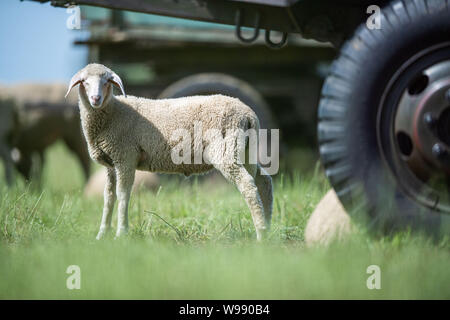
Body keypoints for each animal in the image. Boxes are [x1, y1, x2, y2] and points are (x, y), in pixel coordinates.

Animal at [65, 63, 272, 240]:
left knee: (248, 184)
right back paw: (268, 225)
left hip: (225, 149)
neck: (113, 113)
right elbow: (108, 197)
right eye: (84, 81)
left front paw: (121, 233)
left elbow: (123, 194)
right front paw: (102, 234)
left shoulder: (125, 157)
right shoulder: (111, 163)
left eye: (107, 81)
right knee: (264, 180)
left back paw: (261, 234)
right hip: (244, 150)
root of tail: (248, 114)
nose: (96, 99)